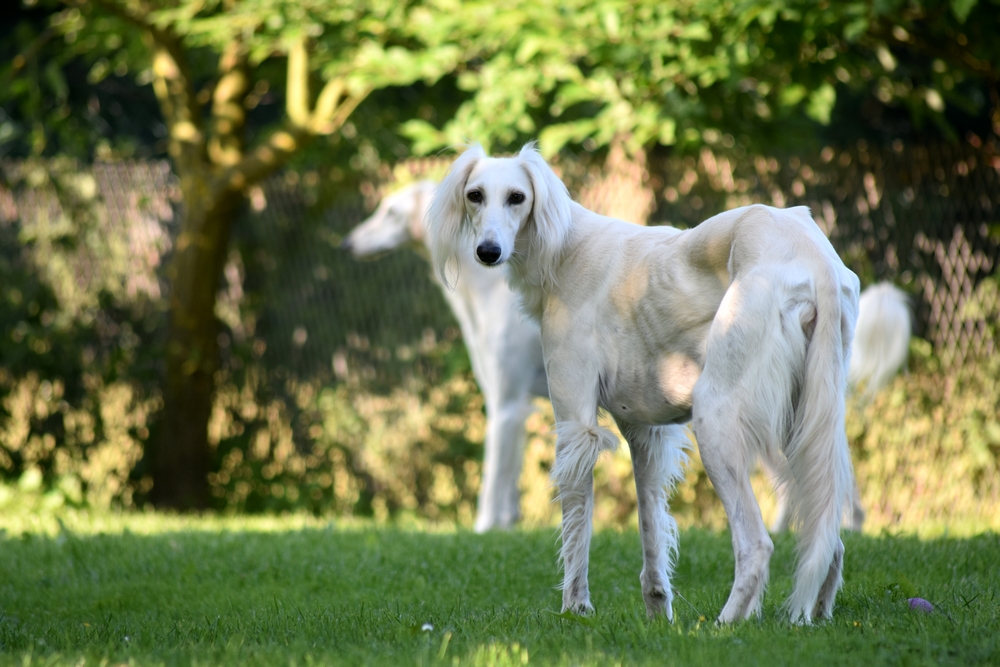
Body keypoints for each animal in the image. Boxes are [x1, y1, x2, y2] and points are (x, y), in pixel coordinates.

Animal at [344, 181, 548, 532]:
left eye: (390, 212)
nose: (347, 243)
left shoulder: (505, 406)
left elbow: (492, 484)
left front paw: (483, 530)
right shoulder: (515, 405)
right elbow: (509, 487)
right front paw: (507, 529)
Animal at [430, 142, 860, 628]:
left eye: (517, 197)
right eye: (475, 195)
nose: (487, 251)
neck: (564, 250)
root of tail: (813, 254)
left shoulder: (576, 423)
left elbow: (577, 522)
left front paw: (576, 608)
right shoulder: (646, 430)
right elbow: (650, 525)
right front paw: (658, 613)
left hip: (718, 418)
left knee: (757, 544)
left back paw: (725, 624)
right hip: (804, 421)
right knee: (829, 539)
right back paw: (812, 617)